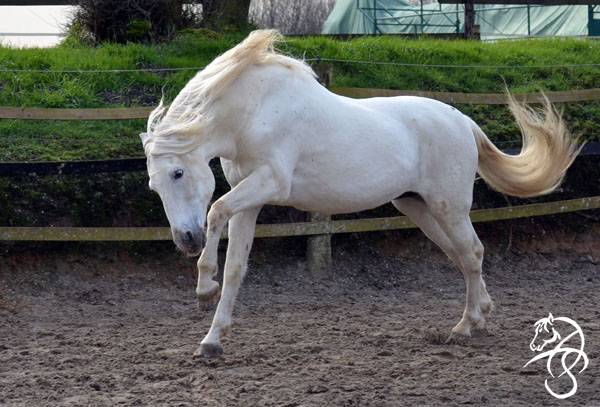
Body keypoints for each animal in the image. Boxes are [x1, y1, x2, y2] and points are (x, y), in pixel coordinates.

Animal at [141, 30, 580, 358]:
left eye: (178, 173)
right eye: (153, 186)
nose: (186, 239)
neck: (253, 111)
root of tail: (463, 121)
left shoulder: (269, 183)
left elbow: (215, 211)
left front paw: (203, 291)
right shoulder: (250, 199)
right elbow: (236, 267)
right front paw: (212, 340)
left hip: (449, 207)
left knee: (472, 253)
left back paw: (465, 327)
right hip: (419, 208)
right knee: (462, 256)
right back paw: (482, 316)